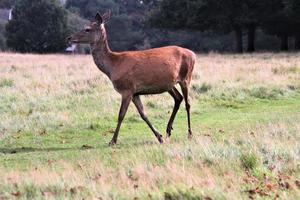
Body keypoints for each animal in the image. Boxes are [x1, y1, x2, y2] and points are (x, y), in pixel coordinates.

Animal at [69, 12, 197, 147]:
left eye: (87, 29)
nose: (69, 37)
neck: (113, 66)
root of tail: (193, 54)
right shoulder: (135, 92)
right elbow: (143, 114)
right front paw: (159, 137)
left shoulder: (127, 89)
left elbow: (121, 115)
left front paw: (112, 141)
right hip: (169, 84)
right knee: (178, 98)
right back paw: (168, 130)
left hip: (186, 77)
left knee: (188, 103)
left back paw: (189, 134)